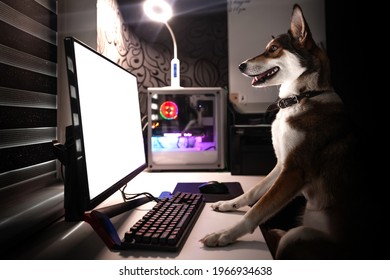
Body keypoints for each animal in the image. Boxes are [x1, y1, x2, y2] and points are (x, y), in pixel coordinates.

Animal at [200, 3, 370, 260]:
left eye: (273, 49)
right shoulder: (281, 165)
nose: (240, 66)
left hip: (297, 235)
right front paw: (228, 204)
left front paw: (225, 234)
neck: (300, 98)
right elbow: (253, 193)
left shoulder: (294, 171)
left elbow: (259, 209)